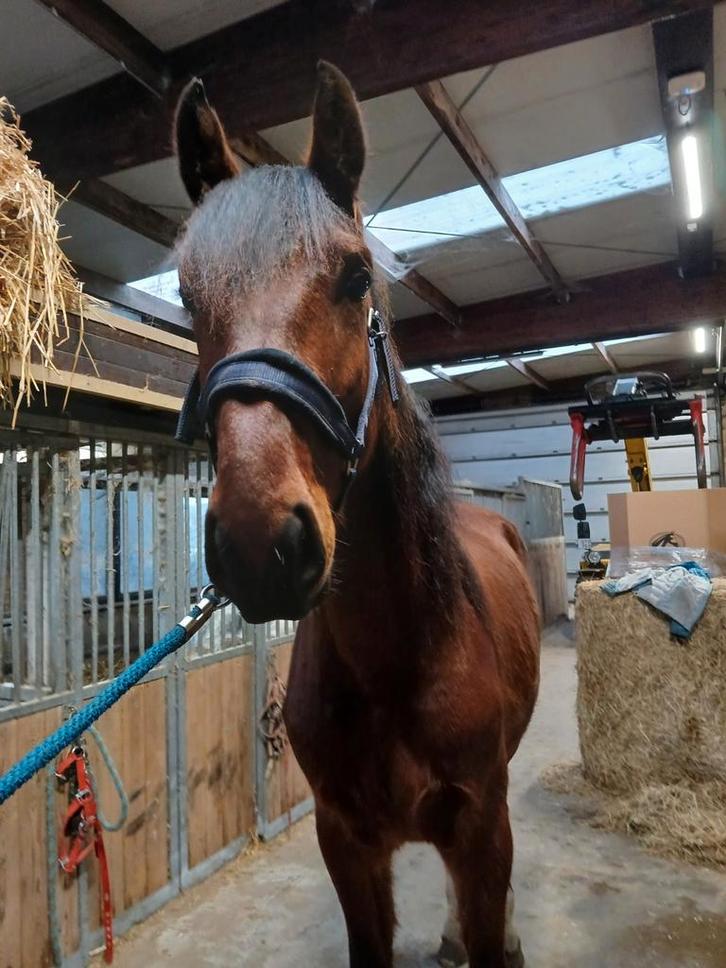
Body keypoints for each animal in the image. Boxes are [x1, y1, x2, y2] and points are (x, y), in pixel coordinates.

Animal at [173, 61, 540, 968]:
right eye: (187, 296)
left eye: (354, 277)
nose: (260, 542)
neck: (395, 658)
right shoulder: (345, 843)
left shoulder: (483, 830)